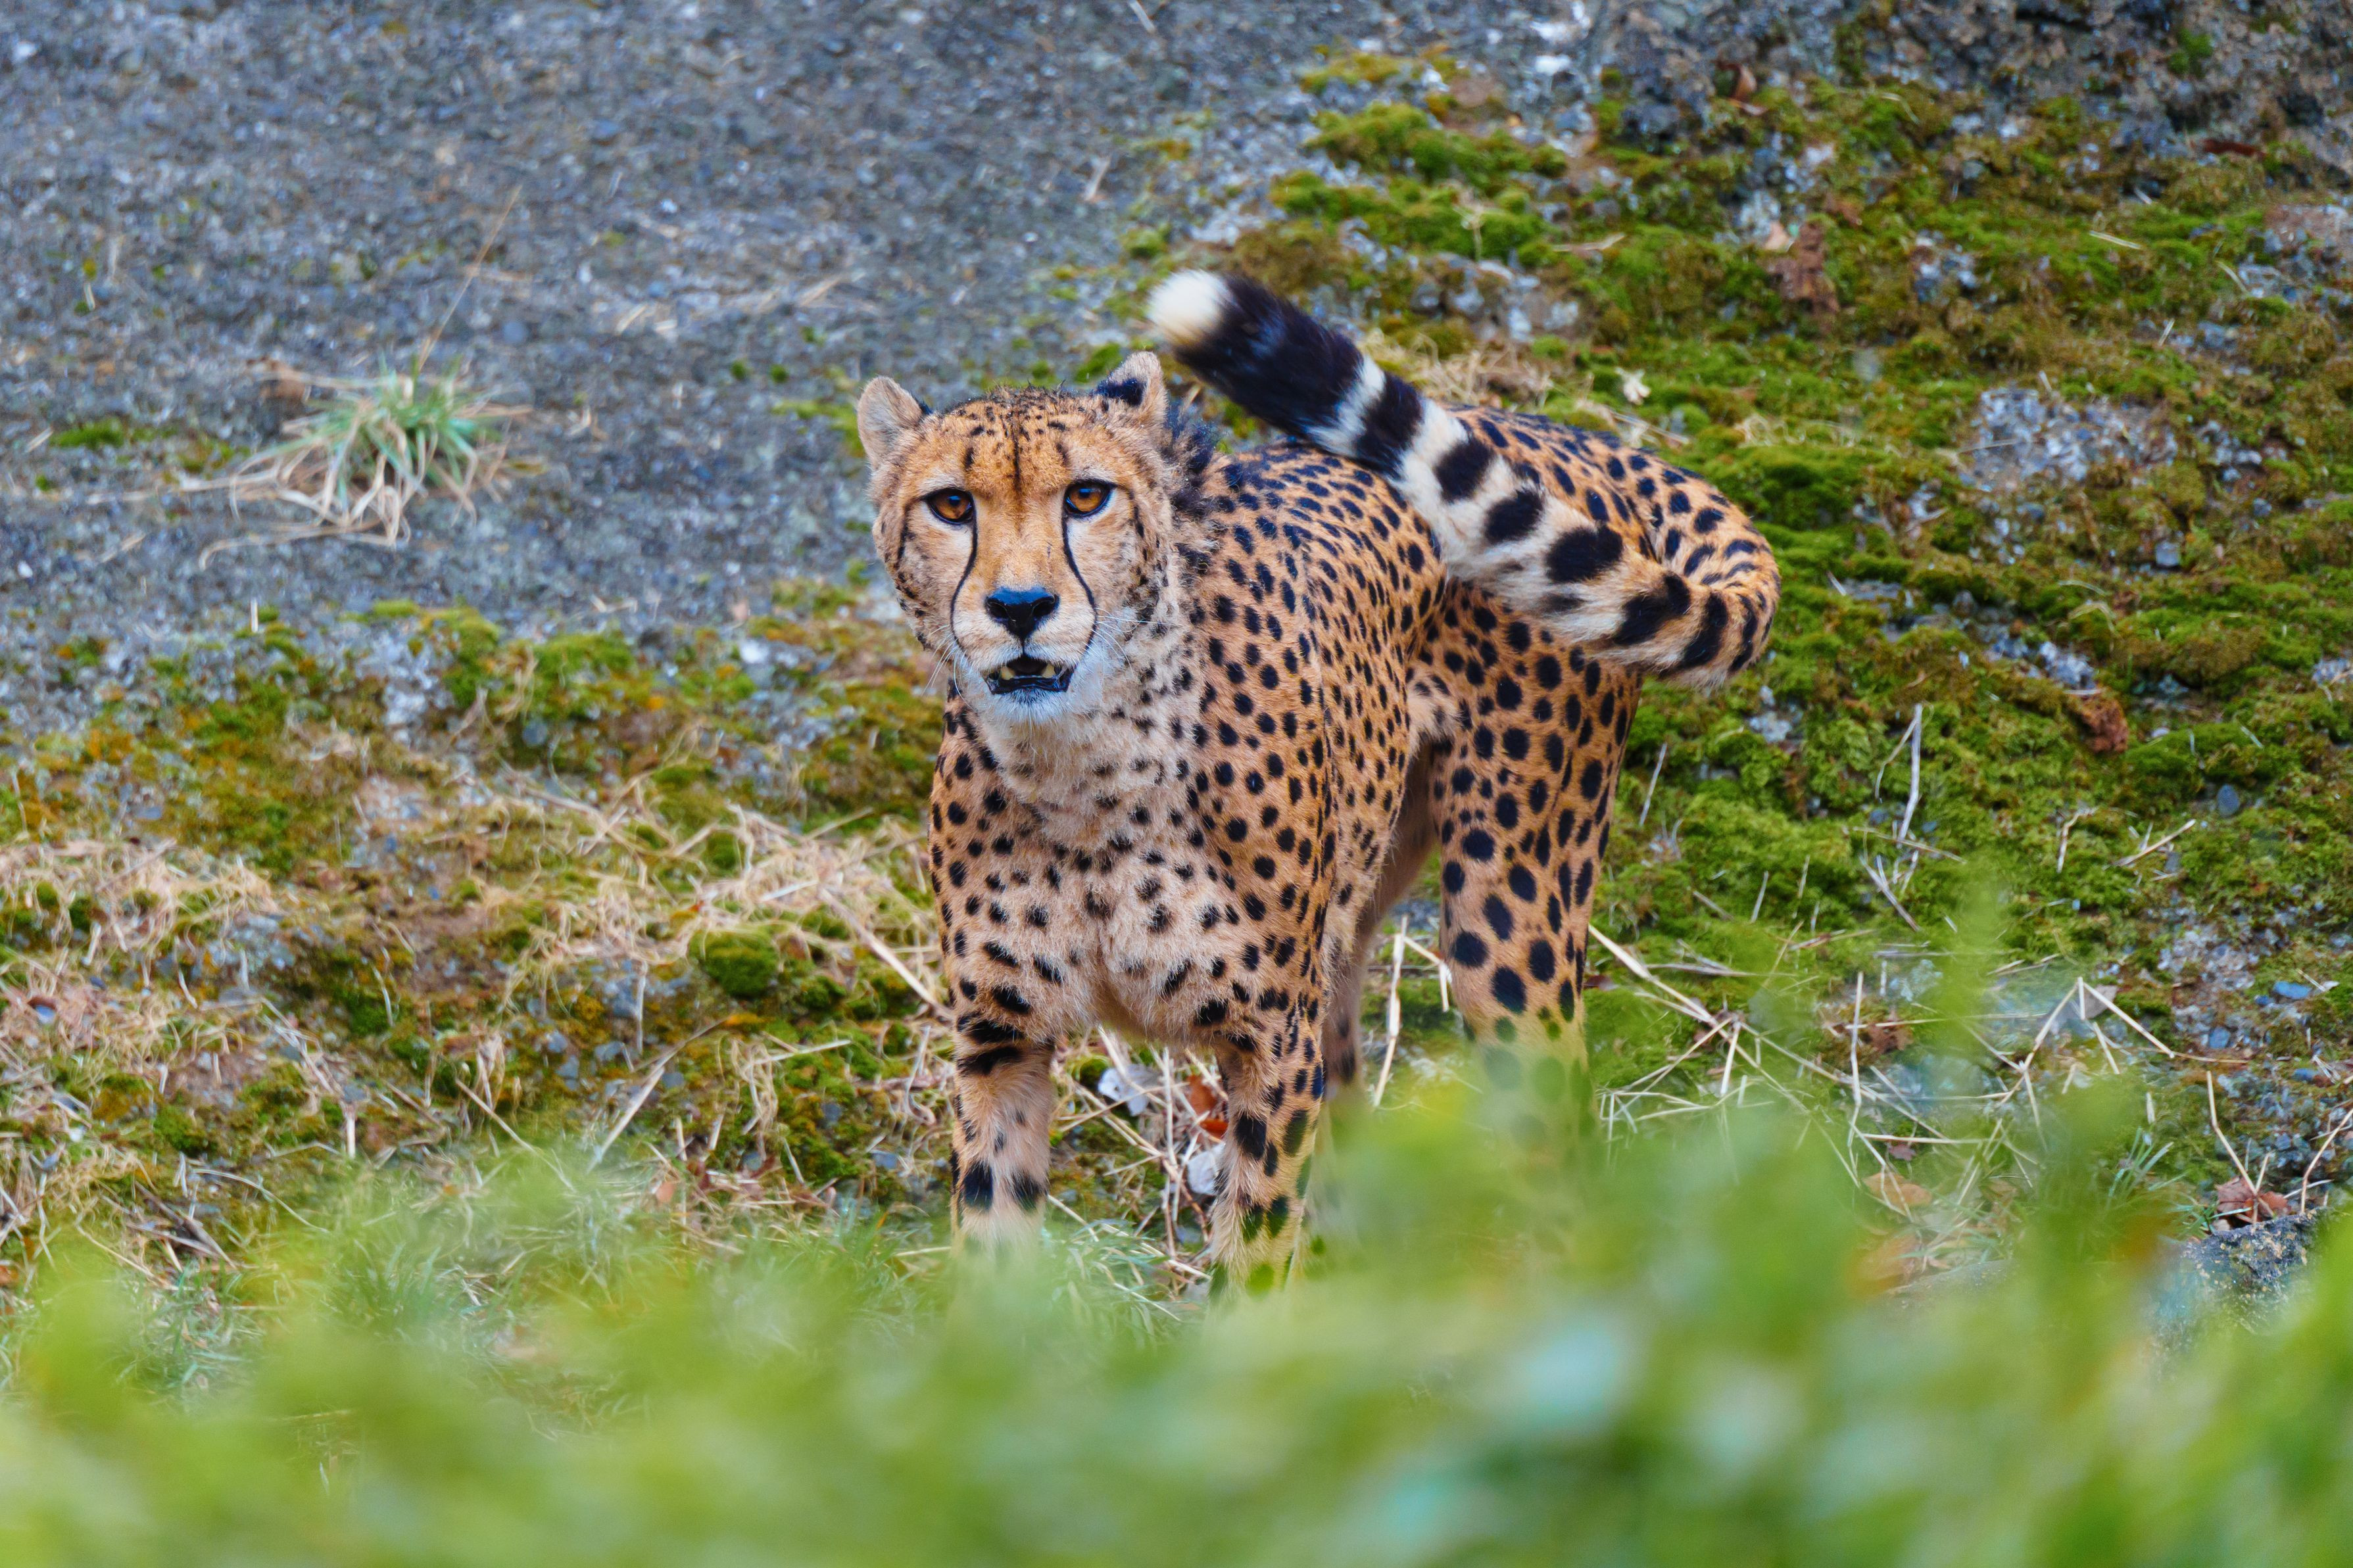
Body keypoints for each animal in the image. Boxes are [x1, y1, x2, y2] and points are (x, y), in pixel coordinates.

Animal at [855, 270, 1779, 1292]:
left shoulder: (1267, 1042)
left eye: (1086, 496)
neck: (1078, 773)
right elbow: (993, 1243)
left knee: (1562, 1145)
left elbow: (1257, 1251)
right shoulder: (1000, 1041)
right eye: (950, 506)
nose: (1020, 608)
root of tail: (1559, 431)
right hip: (1356, 914)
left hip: (1508, 924)